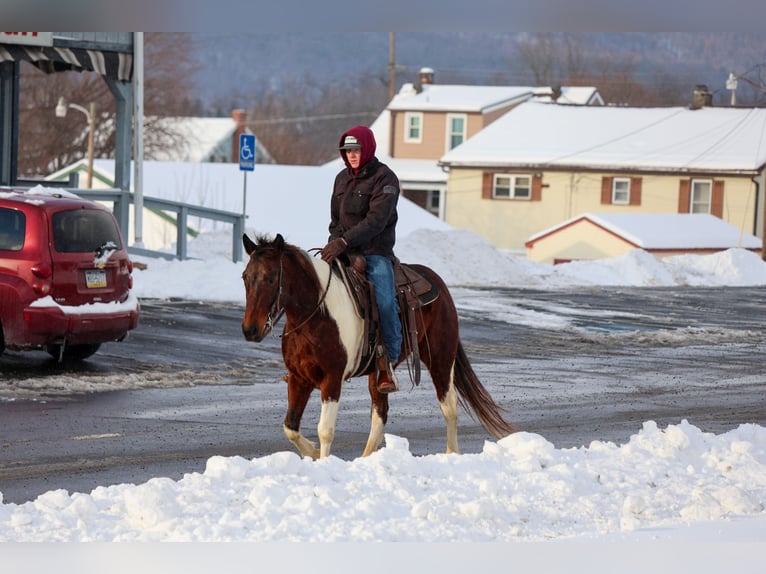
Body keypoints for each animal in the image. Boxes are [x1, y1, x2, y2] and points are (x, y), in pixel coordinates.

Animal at [240, 233, 516, 459]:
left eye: (271, 278)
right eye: (245, 277)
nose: (250, 329)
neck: (317, 314)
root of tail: (437, 281)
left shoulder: (332, 379)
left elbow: (325, 430)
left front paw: (322, 457)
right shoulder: (299, 378)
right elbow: (290, 427)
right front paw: (314, 453)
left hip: (440, 357)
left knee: (449, 407)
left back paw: (451, 454)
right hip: (380, 372)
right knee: (380, 414)